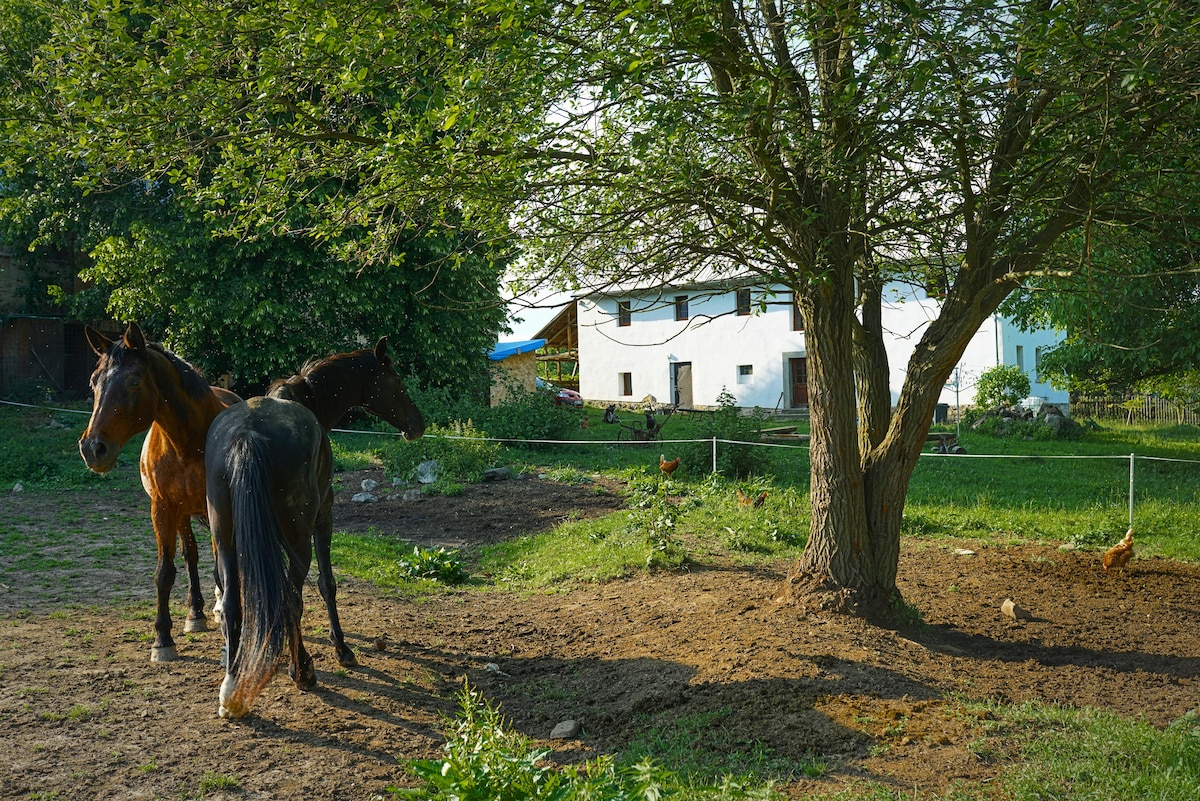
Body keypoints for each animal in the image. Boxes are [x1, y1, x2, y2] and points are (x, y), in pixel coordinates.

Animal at [79, 321, 241, 661]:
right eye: (93, 381)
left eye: (134, 381)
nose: (92, 448)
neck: (187, 443)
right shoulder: (163, 508)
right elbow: (165, 572)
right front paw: (163, 639)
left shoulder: (217, 509)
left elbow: (222, 568)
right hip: (182, 513)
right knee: (190, 554)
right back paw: (196, 612)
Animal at [208, 335, 424, 714]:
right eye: (395, 379)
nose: (418, 423)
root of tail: (246, 435)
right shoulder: (324, 516)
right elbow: (327, 584)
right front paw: (342, 649)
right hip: (298, 538)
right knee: (291, 598)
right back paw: (303, 671)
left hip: (225, 538)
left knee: (233, 602)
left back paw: (232, 687)